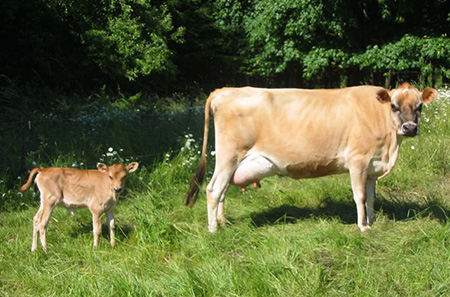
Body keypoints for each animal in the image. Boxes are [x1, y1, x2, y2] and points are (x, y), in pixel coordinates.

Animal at [186, 82, 436, 231]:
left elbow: (372, 197)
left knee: (222, 191)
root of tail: (224, 90)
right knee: (213, 190)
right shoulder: (358, 161)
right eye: (394, 106)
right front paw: (363, 227)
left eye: (420, 107)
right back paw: (213, 230)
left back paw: (222, 222)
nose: (410, 128)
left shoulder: (373, 166)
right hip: (229, 156)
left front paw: (372, 222)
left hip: (231, 162)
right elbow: (360, 196)